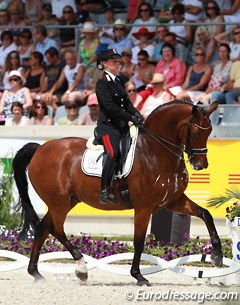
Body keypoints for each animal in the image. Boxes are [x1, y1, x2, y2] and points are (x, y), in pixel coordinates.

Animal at [12, 100, 222, 284]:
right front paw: (138, 276)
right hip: (59, 202)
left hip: (67, 201)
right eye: (196, 131)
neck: (155, 152)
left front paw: (217, 256)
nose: (200, 165)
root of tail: (40, 149)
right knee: (56, 229)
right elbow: (139, 241)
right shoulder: (144, 208)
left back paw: (36, 273)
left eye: (210, 131)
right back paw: (81, 268)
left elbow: (206, 214)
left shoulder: (173, 201)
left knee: (43, 229)